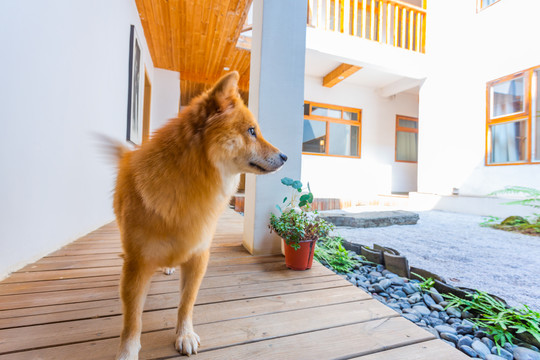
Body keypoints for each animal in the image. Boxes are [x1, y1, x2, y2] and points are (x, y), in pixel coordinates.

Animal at [110, 71, 286, 360]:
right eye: (251, 131)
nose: (285, 156)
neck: (189, 186)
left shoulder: (198, 256)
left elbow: (186, 303)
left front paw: (184, 335)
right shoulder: (137, 264)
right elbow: (133, 319)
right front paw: (127, 351)